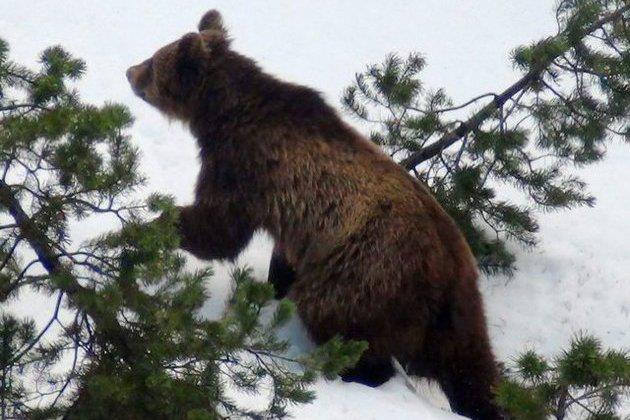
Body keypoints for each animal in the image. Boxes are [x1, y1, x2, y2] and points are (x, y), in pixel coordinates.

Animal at [127, 10, 504, 420]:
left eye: (153, 62)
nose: (130, 71)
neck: (223, 114)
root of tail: (446, 266)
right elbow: (277, 255)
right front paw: (273, 286)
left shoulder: (244, 165)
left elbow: (218, 229)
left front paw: (151, 225)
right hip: (458, 310)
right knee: (471, 367)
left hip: (365, 272)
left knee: (338, 318)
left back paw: (351, 372)